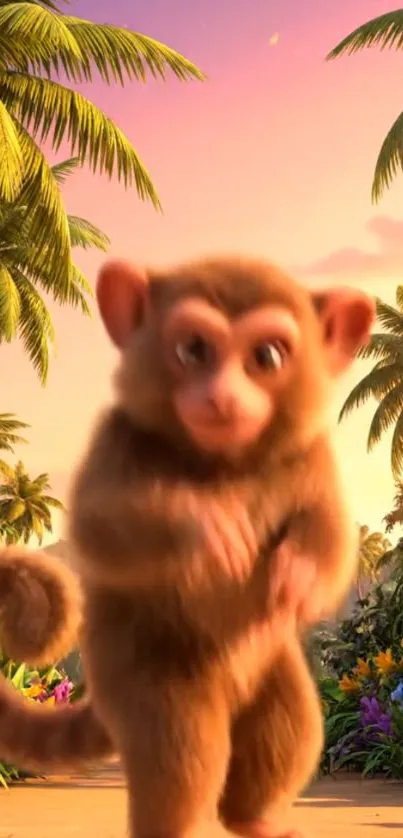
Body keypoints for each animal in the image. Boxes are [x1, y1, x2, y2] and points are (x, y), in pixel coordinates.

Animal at [0, 255, 375, 838]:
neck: (224, 463)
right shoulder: (117, 435)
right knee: (182, 745)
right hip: (137, 672)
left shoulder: (311, 454)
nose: (222, 396)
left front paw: (298, 577)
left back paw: (253, 818)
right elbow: (97, 525)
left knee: (288, 719)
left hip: (266, 665)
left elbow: (329, 530)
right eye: (194, 350)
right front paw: (207, 530)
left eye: (267, 357)